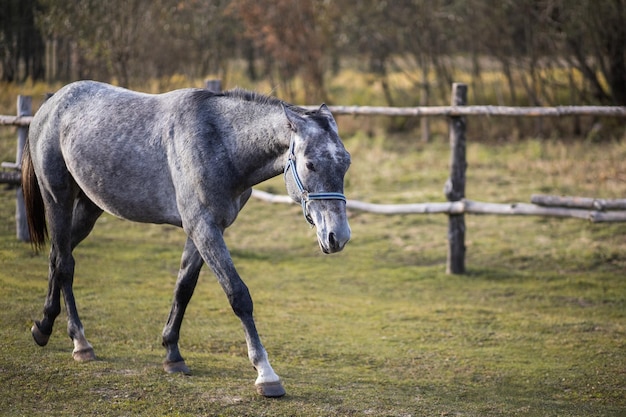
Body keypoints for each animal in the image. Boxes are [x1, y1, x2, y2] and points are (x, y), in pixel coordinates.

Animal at [20, 80, 352, 396]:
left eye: (346, 162)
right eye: (310, 164)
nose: (338, 236)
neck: (220, 144)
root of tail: (52, 103)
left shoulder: (204, 230)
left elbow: (184, 288)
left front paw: (172, 354)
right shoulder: (203, 227)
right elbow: (238, 295)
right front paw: (266, 374)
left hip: (90, 207)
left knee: (58, 257)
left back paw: (43, 327)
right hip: (57, 200)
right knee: (65, 265)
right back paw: (80, 342)